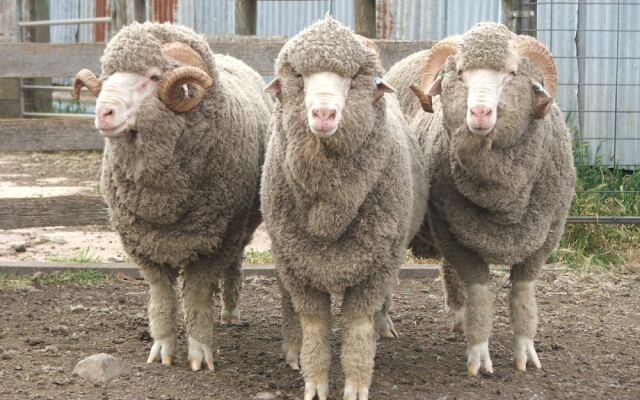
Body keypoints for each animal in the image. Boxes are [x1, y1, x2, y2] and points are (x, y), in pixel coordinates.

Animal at [73, 21, 272, 372]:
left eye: (153, 77)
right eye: (107, 75)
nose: (103, 113)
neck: (164, 206)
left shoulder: (213, 243)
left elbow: (195, 298)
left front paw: (200, 353)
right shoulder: (144, 244)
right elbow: (162, 298)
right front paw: (162, 349)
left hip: (241, 226)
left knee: (234, 264)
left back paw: (230, 312)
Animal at [260, 16, 430, 400]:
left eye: (353, 79)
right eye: (300, 77)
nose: (323, 113)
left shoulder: (375, 268)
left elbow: (357, 328)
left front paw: (356, 382)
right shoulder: (300, 269)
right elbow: (315, 327)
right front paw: (314, 380)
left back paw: (383, 331)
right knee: (287, 303)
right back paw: (292, 350)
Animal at [382, 23, 576, 376]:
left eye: (513, 73)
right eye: (460, 72)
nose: (480, 112)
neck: (503, 200)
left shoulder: (544, 238)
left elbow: (523, 297)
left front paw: (526, 353)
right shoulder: (452, 235)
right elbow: (481, 297)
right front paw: (479, 356)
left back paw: (459, 318)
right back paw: (385, 322)